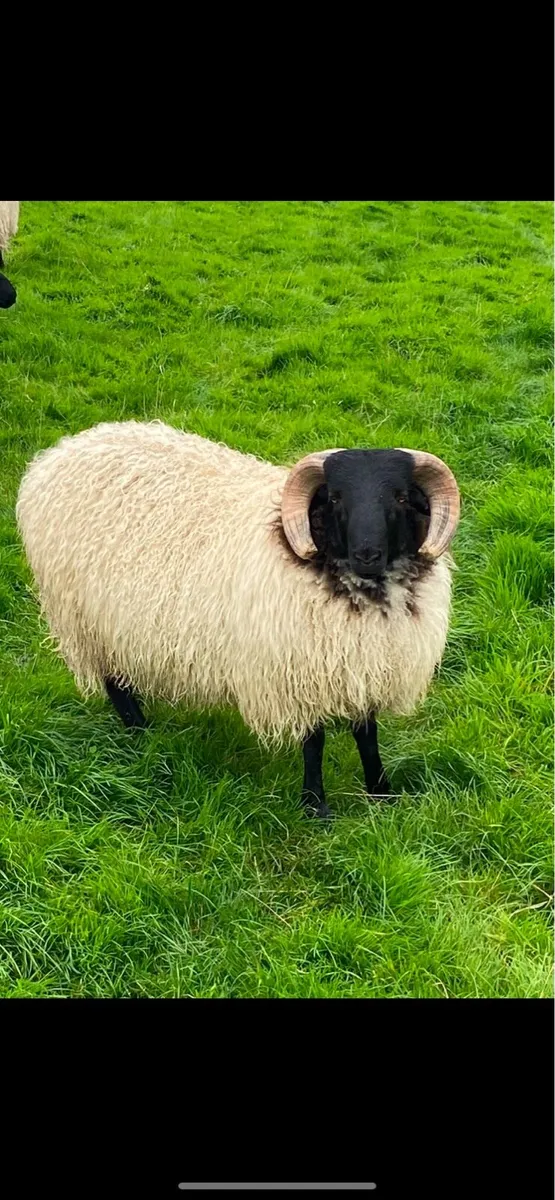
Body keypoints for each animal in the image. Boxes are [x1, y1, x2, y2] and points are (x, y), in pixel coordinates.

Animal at [16, 420, 460, 818]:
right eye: (334, 497)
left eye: (401, 497)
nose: (367, 553)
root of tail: (60, 452)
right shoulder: (297, 671)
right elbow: (314, 742)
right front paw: (316, 807)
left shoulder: (365, 665)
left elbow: (367, 735)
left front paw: (382, 795)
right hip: (84, 617)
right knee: (113, 681)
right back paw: (139, 732)